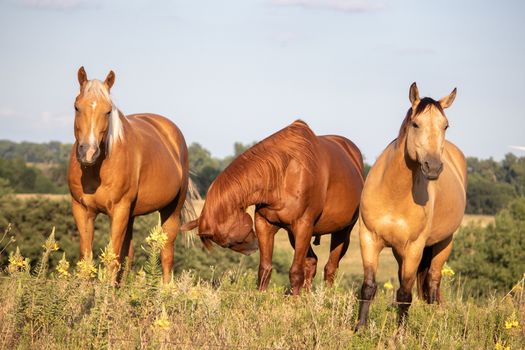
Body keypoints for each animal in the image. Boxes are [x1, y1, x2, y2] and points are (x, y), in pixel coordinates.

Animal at [67, 66, 194, 284]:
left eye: (108, 110)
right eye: (77, 107)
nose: (88, 153)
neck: (96, 170)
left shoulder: (119, 210)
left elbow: (112, 259)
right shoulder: (82, 210)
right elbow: (87, 260)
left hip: (171, 211)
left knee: (166, 255)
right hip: (132, 214)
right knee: (129, 256)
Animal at [182, 120, 362, 296]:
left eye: (228, 241)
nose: (252, 249)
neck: (283, 174)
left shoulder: (303, 226)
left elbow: (295, 272)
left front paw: (295, 303)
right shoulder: (265, 225)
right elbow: (265, 269)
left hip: (341, 232)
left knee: (330, 268)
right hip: (293, 234)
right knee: (312, 262)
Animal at [356, 82, 466, 328]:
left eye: (445, 125)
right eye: (416, 124)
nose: (433, 166)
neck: (393, 193)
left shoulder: (414, 247)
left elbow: (405, 294)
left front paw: (400, 333)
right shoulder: (369, 238)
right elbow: (368, 287)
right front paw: (359, 329)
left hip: (444, 243)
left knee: (433, 282)